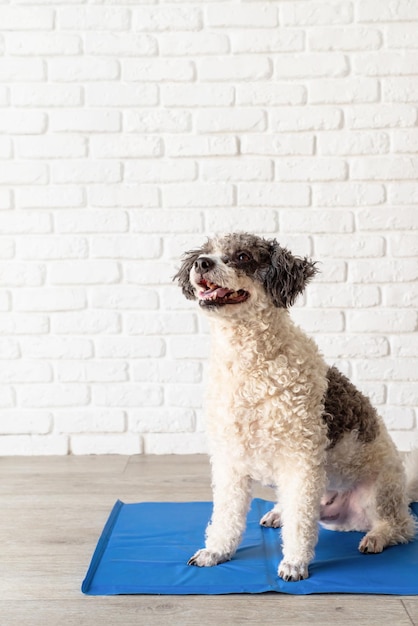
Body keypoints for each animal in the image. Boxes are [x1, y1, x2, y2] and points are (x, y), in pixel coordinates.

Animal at [173, 232, 418, 576]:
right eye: (206, 252)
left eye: (243, 257)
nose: (202, 263)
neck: (251, 364)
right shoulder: (230, 459)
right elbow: (226, 514)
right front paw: (216, 551)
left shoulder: (300, 459)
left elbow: (300, 522)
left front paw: (294, 563)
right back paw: (278, 513)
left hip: (378, 493)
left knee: (402, 527)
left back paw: (377, 536)